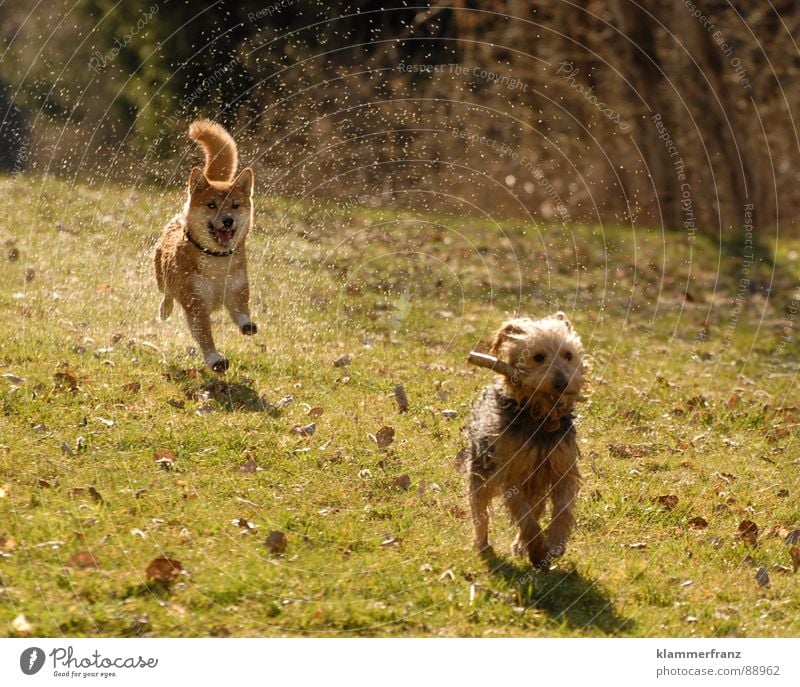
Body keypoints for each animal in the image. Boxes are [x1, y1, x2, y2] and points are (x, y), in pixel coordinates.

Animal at [155, 121, 258, 374]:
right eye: (212, 205)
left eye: (235, 205)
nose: (228, 220)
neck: (216, 263)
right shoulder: (196, 303)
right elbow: (205, 335)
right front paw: (215, 359)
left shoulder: (236, 288)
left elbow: (241, 310)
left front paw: (247, 324)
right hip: (162, 275)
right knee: (166, 293)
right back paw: (165, 310)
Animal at [462, 314, 588, 568]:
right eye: (538, 357)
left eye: (568, 355)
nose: (562, 383)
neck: (540, 417)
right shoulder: (512, 475)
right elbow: (525, 516)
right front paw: (538, 549)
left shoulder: (562, 468)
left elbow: (562, 509)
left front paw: (555, 541)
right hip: (481, 469)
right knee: (480, 508)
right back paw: (483, 543)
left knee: (536, 506)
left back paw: (521, 545)